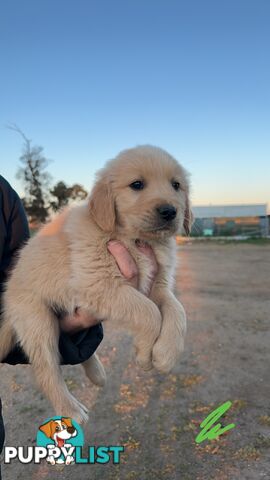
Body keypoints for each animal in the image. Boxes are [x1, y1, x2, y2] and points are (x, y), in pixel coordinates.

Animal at [0, 144, 192, 422]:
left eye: (176, 185)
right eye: (137, 184)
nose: (169, 211)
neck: (134, 238)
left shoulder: (158, 286)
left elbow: (177, 311)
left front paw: (166, 353)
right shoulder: (100, 285)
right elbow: (150, 313)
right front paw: (145, 355)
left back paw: (97, 373)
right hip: (37, 319)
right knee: (47, 369)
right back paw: (70, 408)